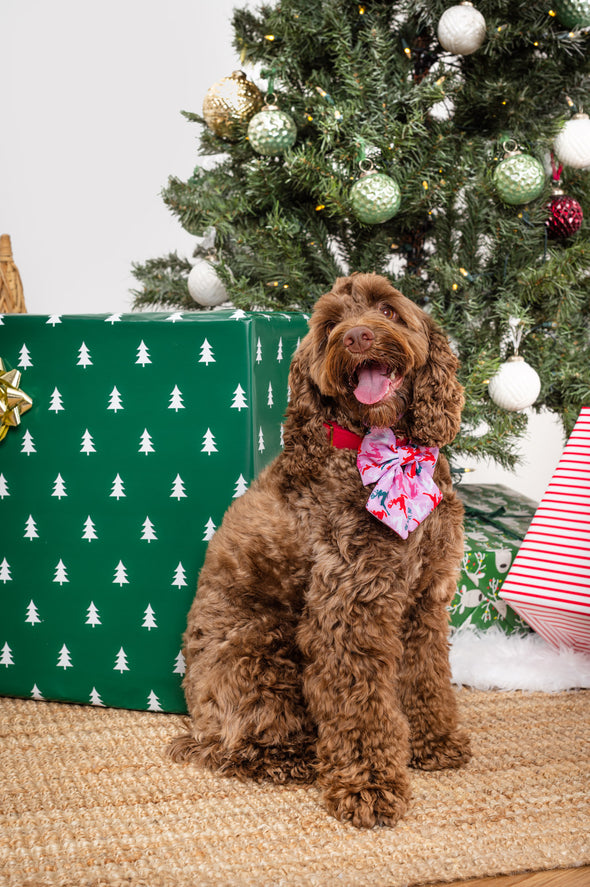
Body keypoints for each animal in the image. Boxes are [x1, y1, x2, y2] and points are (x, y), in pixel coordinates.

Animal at [170, 274, 472, 828]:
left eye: (387, 311)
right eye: (330, 325)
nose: (356, 337)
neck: (390, 452)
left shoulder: (423, 602)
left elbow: (425, 676)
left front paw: (432, 742)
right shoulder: (349, 610)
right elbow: (359, 704)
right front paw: (369, 785)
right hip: (261, 657)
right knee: (234, 744)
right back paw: (290, 758)